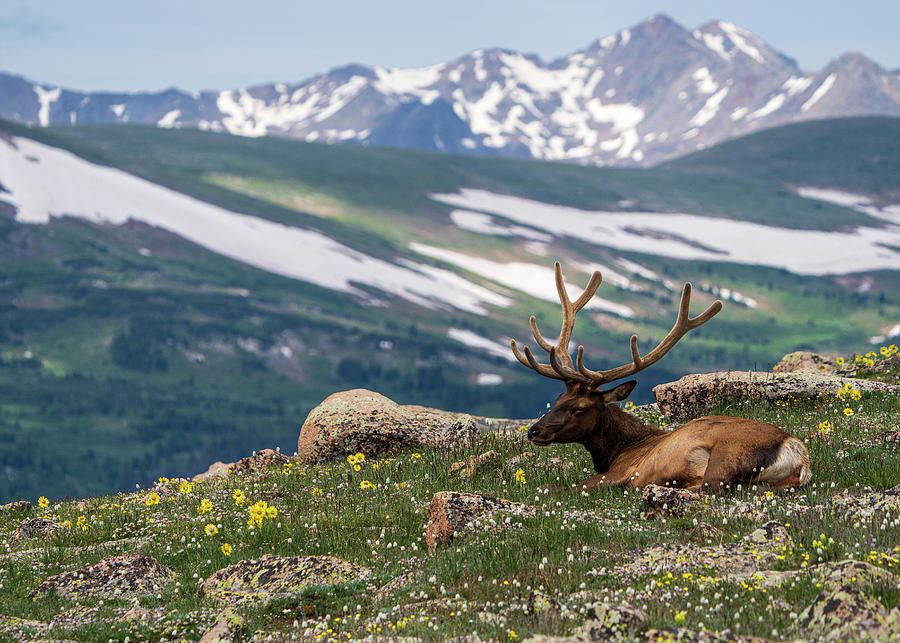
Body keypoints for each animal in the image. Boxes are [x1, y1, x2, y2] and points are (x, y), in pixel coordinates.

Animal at [510, 262, 812, 494]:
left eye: (579, 408)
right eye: (558, 399)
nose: (534, 431)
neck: (618, 450)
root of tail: (797, 453)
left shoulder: (621, 472)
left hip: (728, 454)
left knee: (710, 486)